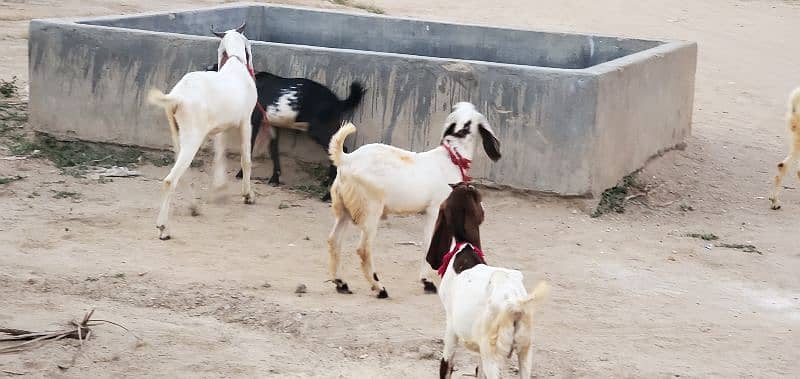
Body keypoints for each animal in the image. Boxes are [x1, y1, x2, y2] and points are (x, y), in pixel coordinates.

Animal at [145, 23, 255, 240]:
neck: (235, 63)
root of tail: (176, 97)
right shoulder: (246, 121)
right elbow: (245, 159)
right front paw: (247, 195)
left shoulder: (220, 127)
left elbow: (219, 154)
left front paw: (220, 188)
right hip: (192, 136)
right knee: (170, 180)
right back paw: (163, 228)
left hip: (177, 134)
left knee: (181, 172)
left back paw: (194, 207)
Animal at [206, 63, 368, 199]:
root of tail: (338, 102)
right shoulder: (271, 125)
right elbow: (273, 150)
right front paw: (274, 179)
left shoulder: (254, 121)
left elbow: (249, 147)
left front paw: (240, 174)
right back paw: (326, 183)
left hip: (318, 129)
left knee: (342, 148)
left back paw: (327, 195)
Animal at [324, 102, 500, 298]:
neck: (452, 158)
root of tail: (345, 159)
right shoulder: (435, 210)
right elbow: (429, 243)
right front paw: (427, 281)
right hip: (370, 209)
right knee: (363, 249)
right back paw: (379, 288)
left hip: (344, 209)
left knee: (334, 241)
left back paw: (341, 283)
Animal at [424, 183, 552, 379]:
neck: (464, 248)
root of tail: (514, 304)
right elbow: (478, 371)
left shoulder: (451, 327)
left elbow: (446, 366)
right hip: (524, 349)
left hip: (493, 352)